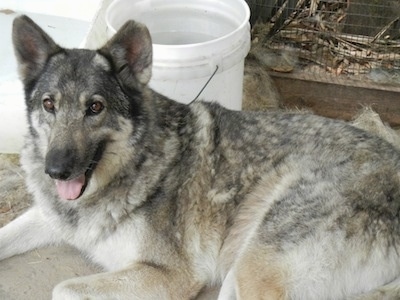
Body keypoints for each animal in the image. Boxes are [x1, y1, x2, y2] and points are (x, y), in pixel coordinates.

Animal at [0, 14, 400, 300]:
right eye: (49, 104)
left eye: (95, 107)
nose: (56, 170)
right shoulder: (49, 216)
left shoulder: (171, 275)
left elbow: (61, 289)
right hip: (237, 275)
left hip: (251, 268)